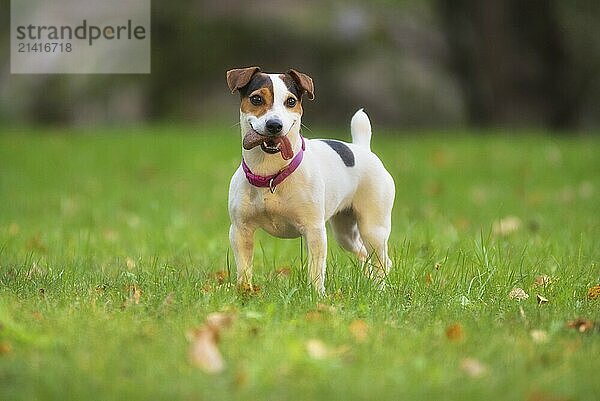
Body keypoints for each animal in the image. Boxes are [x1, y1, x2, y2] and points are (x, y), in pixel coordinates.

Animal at [225, 66, 394, 294]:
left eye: (290, 101)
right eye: (257, 99)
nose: (274, 125)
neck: (271, 175)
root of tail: (363, 149)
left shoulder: (314, 230)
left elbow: (316, 269)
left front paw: (317, 295)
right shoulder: (240, 231)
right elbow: (244, 268)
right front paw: (244, 292)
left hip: (373, 228)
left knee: (382, 260)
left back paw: (379, 288)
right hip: (345, 232)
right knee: (362, 253)